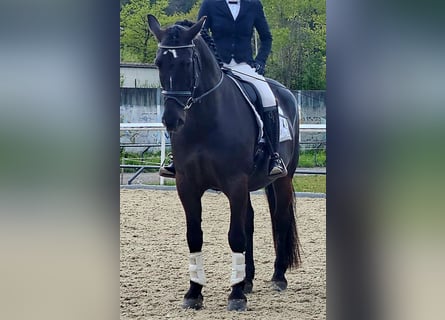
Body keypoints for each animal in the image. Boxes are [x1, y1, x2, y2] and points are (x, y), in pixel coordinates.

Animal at [147, 15, 300, 312]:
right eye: (159, 62)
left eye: (187, 63)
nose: (171, 120)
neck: (204, 122)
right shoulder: (187, 185)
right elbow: (194, 236)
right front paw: (194, 292)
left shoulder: (235, 182)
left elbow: (235, 236)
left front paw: (236, 295)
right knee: (250, 221)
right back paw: (248, 279)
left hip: (282, 179)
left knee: (280, 219)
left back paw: (278, 277)